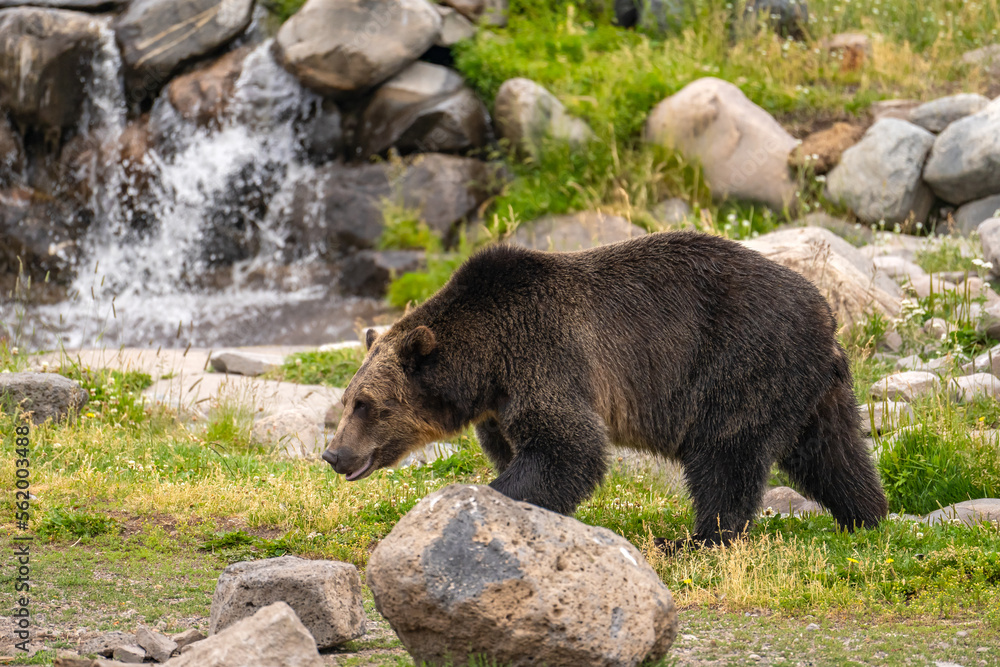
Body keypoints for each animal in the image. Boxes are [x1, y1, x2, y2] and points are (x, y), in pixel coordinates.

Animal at [322, 231, 889, 548]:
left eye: (367, 405)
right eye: (347, 401)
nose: (333, 454)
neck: (485, 363)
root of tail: (827, 318)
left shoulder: (545, 356)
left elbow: (568, 448)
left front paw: (483, 502)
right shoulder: (500, 406)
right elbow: (525, 451)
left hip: (741, 363)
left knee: (725, 456)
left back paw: (697, 540)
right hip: (809, 388)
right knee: (833, 452)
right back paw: (865, 516)